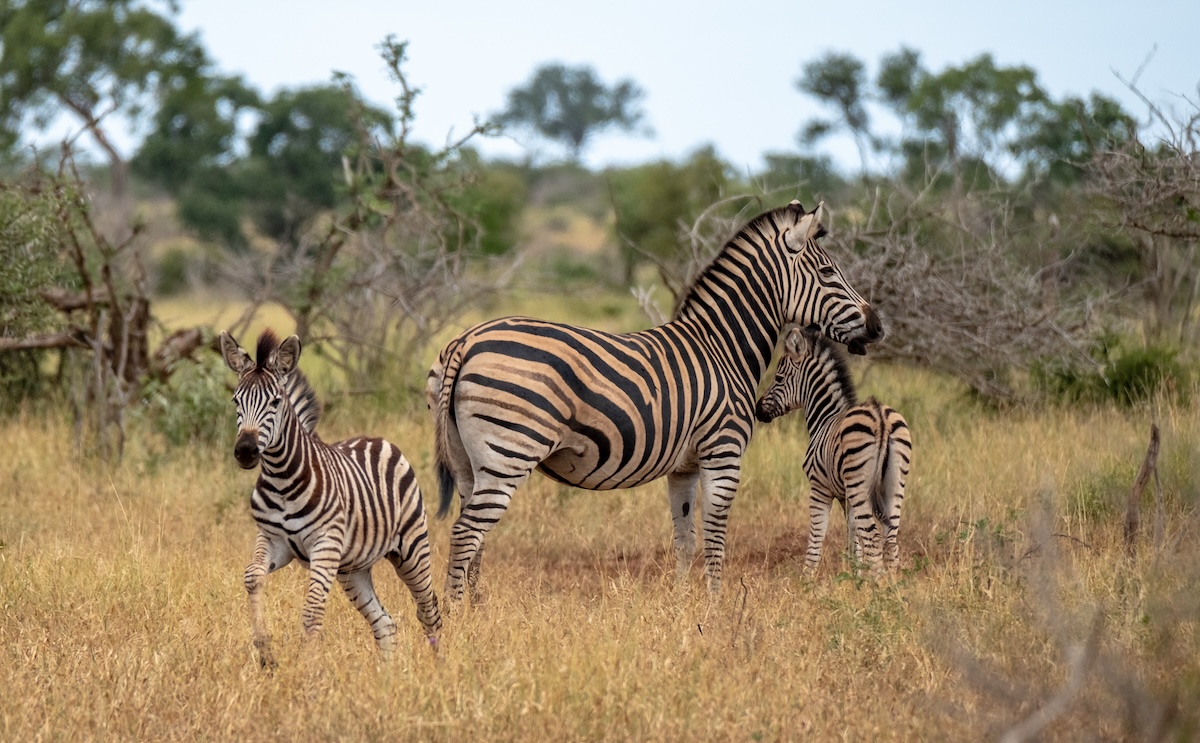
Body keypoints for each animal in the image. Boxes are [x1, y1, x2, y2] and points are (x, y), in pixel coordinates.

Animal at [220, 329, 441, 666]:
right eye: (236, 401)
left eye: (275, 401)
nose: (245, 451)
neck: (283, 480)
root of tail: (379, 440)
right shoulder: (272, 540)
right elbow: (252, 577)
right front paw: (265, 651)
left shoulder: (324, 544)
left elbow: (312, 612)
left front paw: (307, 671)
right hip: (352, 570)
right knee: (385, 623)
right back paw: (387, 675)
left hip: (411, 548)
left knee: (429, 609)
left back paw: (441, 666)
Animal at [426, 200, 884, 602]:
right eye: (827, 271)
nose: (877, 326)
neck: (721, 348)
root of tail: (464, 342)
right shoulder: (724, 452)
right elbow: (715, 537)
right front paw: (716, 606)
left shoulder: (684, 467)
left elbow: (685, 540)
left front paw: (682, 602)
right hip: (509, 452)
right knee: (466, 533)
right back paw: (457, 616)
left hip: (470, 464)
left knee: (473, 535)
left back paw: (475, 606)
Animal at [754, 325, 912, 572]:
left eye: (778, 378)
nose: (758, 410)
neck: (825, 416)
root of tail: (880, 416)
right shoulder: (846, 498)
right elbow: (854, 541)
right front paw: (856, 574)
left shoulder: (820, 488)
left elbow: (816, 538)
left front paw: (807, 576)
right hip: (894, 484)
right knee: (890, 538)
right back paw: (892, 580)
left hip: (860, 485)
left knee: (874, 537)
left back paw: (878, 580)